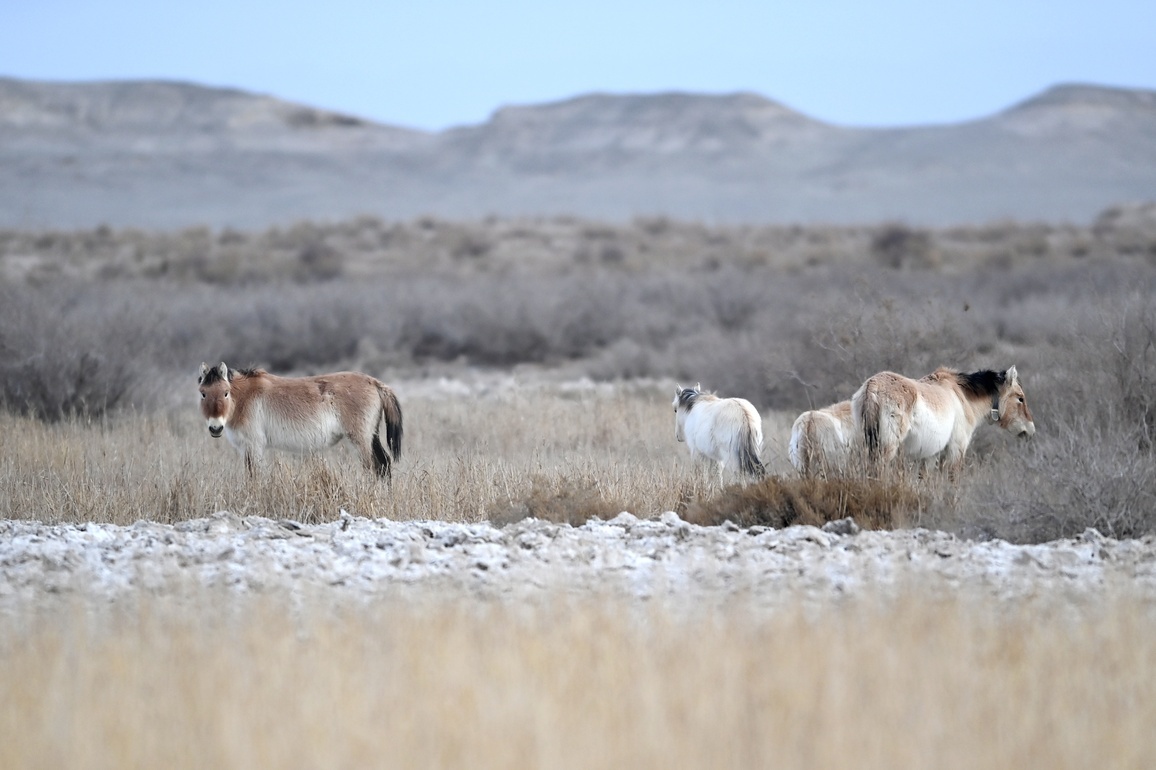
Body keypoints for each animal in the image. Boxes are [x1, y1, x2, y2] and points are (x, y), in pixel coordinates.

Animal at [198, 362, 403, 479]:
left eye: (225, 393)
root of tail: (375, 383)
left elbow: (254, 476)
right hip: (371, 437)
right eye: (203, 393)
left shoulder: (254, 446)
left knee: (373, 467)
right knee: (384, 465)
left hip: (360, 439)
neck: (244, 398)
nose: (215, 428)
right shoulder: (246, 448)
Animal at [851, 365, 1035, 478]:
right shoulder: (956, 450)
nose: (1030, 430)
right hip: (887, 447)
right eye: (1020, 398)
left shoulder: (930, 455)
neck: (962, 396)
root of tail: (872, 387)